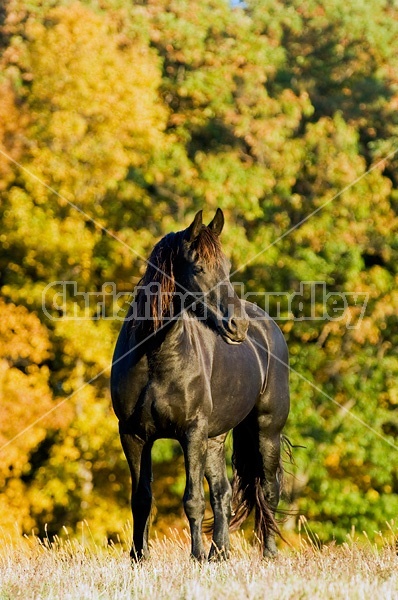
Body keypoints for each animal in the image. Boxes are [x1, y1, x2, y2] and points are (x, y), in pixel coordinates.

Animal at [110, 209, 290, 560]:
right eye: (198, 268)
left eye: (227, 267)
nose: (237, 326)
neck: (155, 355)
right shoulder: (134, 435)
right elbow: (141, 499)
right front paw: (139, 557)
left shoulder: (191, 433)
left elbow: (193, 499)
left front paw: (194, 556)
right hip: (216, 438)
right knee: (223, 492)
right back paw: (219, 553)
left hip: (266, 431)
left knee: (268, 491)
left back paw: (268, 555)